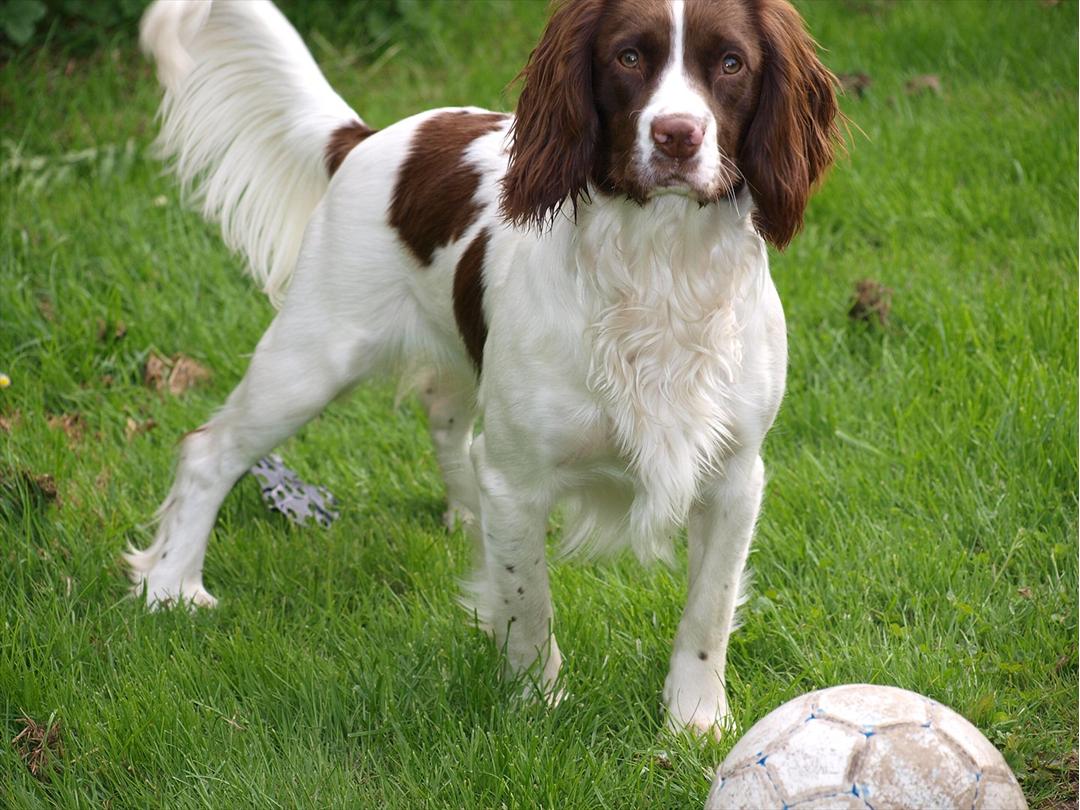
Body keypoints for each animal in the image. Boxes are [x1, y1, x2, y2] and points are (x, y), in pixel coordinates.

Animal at [126, 0, 833, 738]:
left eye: (730, 62)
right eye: (629, 56)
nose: (676, 136)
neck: (660, 268)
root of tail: (368, 138)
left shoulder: (734, 475)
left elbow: (708, 610)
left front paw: (695, 722)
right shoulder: (520, 479)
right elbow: (529, 604)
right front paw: (536, 705)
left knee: (449, 428)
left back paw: (464, 516)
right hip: (311, 358)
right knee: (210, 450)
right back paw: (170, 586)